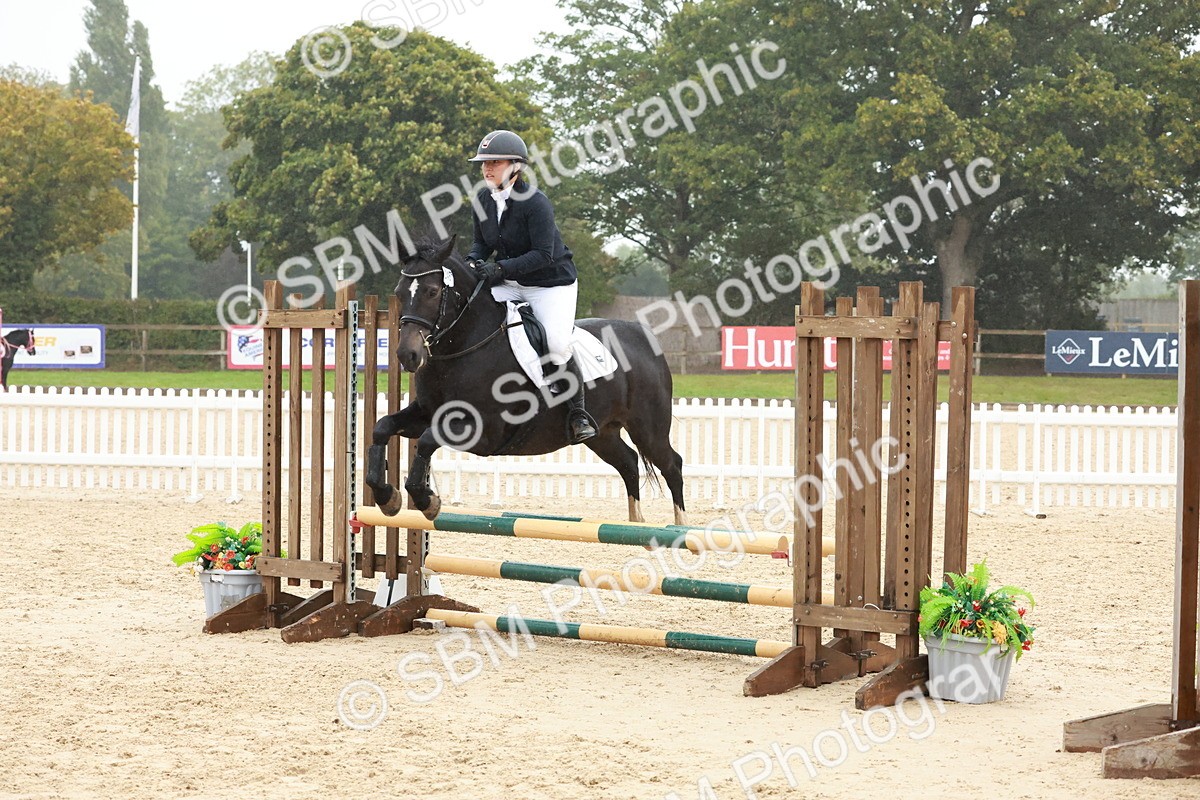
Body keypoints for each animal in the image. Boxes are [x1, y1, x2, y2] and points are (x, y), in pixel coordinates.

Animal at [364, 234, 687, 525]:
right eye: (399, 292)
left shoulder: (484, 431)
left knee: (671, 465)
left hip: (648, 429)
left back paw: (680, 529)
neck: (465, 345)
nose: (407, 355)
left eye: (432, 292)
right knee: (629, 462)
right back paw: (636, 523)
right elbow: (383, 427)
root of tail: (645, 337)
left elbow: (428, 440)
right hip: (603, 434)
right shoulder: (427, 412)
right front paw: (387, 497)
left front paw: (427, 500)